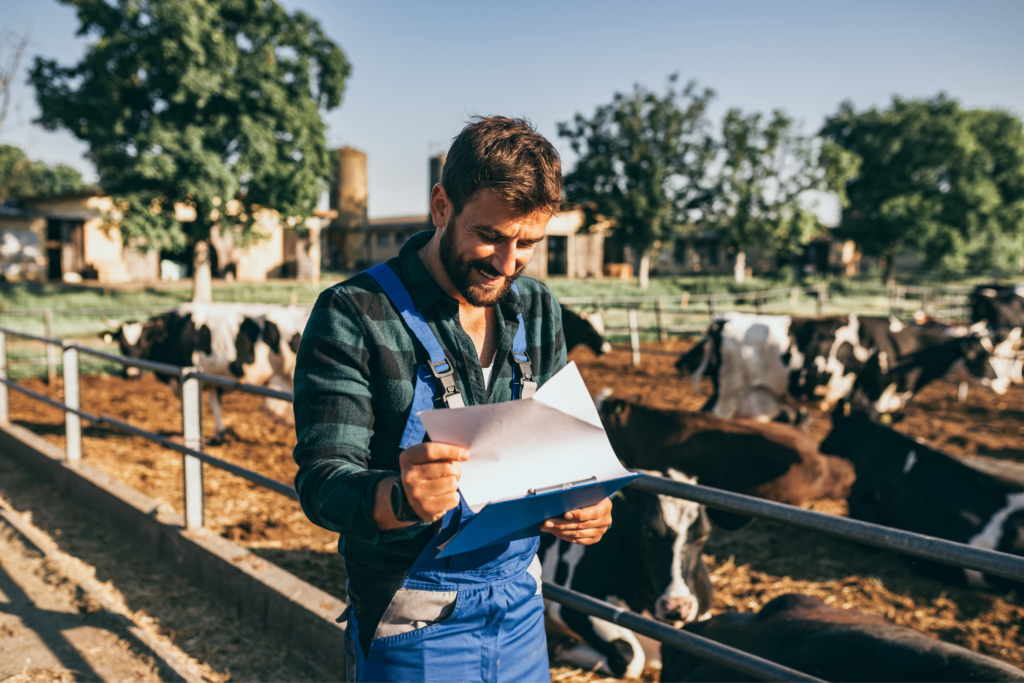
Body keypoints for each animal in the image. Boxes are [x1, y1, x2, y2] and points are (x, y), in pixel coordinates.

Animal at [544, 475, 712, 679]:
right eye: (647, 529)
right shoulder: (572, 603)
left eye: (704, 535)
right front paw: (562, 647)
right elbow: (633, 658)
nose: (676, 606)